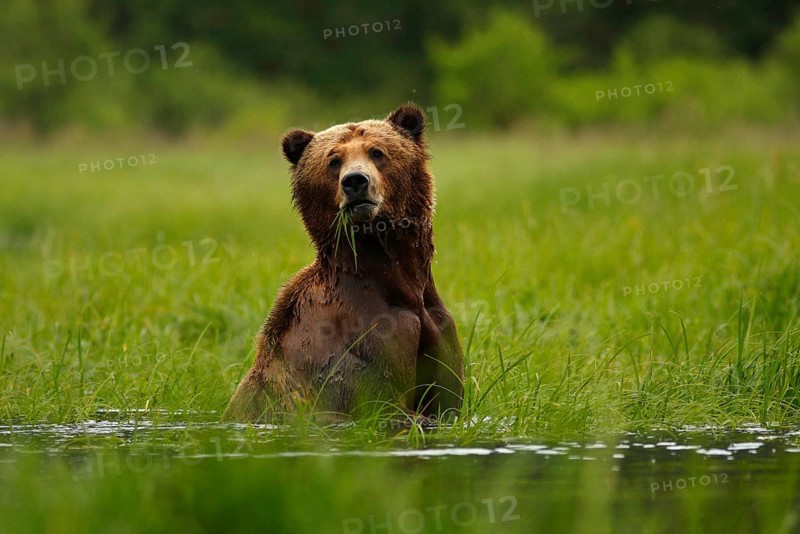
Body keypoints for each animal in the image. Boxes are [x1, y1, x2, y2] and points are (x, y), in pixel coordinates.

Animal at [222, 103, 464, 422]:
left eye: (377, 151)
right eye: (334, 160)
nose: (355, 181)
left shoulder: (438, 327)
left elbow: (449, 402)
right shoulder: (372, 339)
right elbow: (386, 405)